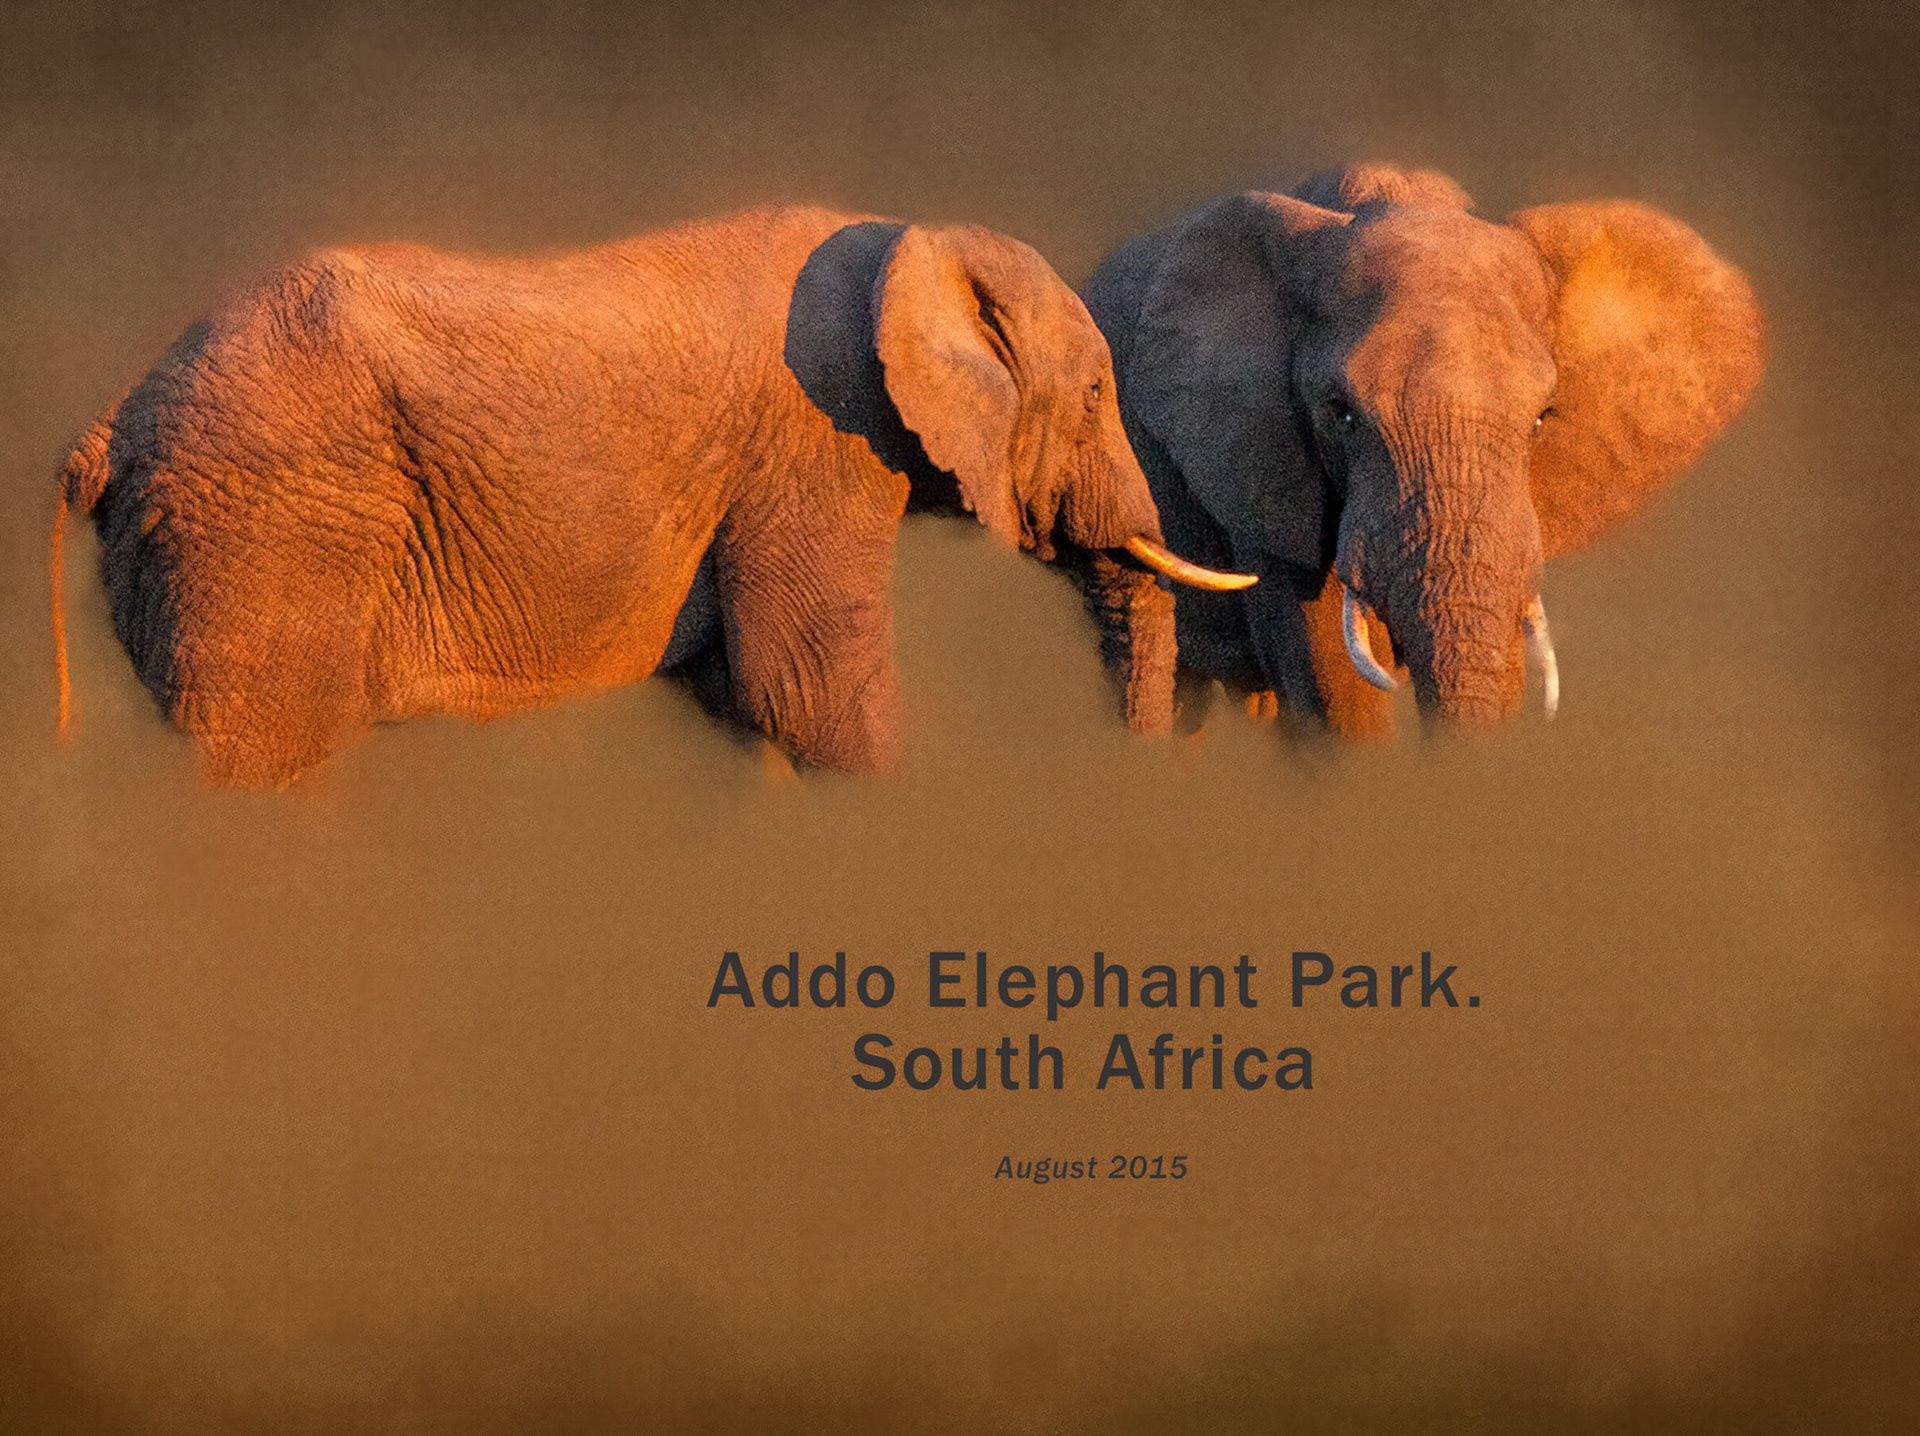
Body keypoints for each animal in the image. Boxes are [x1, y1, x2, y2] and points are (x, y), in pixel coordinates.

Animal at [49, 205, 1252, 786]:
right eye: (1096, 392)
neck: (917, 237)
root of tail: (109, 422)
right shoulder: (810, 445)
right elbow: (807, 688)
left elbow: (750, 696)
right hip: (261, 531)